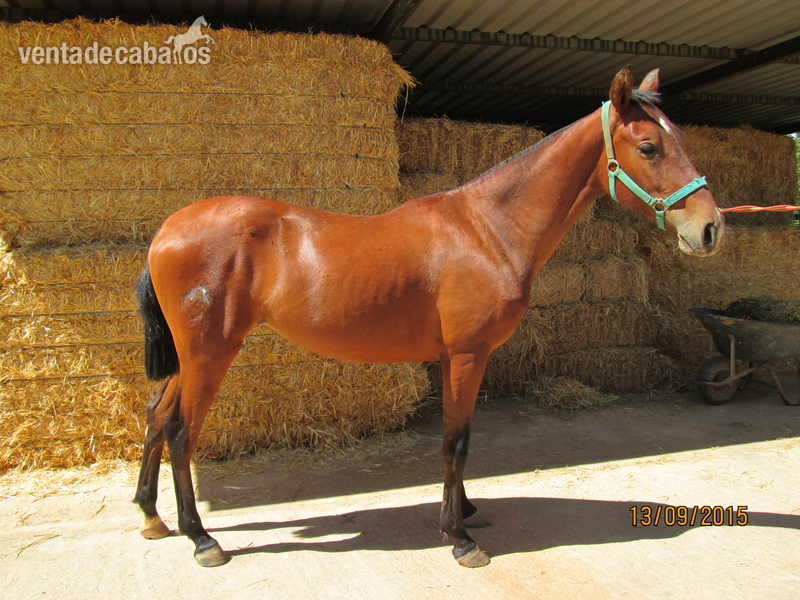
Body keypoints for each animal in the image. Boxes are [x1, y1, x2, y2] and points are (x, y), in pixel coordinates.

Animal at [132, 67, 724, 569]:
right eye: (649, 147)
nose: (711, 228)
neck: (486, 230)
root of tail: (167, 230)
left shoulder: (451, 358)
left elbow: (457, 437)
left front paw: (464, 513)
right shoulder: (466, 356)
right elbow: (455, 442)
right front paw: (459, 538)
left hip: (191, 358)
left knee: (157, 417)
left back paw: (152, 517)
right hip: (210, 354)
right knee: (181, 431)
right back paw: (201, 538)